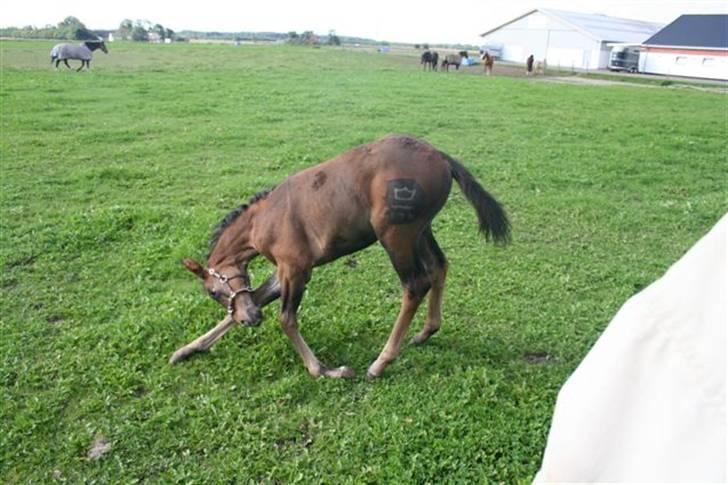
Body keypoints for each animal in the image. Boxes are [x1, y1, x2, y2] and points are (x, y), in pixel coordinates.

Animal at [173, 135, 510, 378]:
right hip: (421, 230)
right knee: (439, 266)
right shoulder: (285, 269)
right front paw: (186, 350)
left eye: (213, 291)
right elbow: (257, 296)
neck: (262, 220)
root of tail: (441, 156)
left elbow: (286, 319)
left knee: (415, 285)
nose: (250, 321)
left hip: (396, 236)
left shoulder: (296, 267)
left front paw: (325, 370)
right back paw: (426, 332)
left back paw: (380, 363)